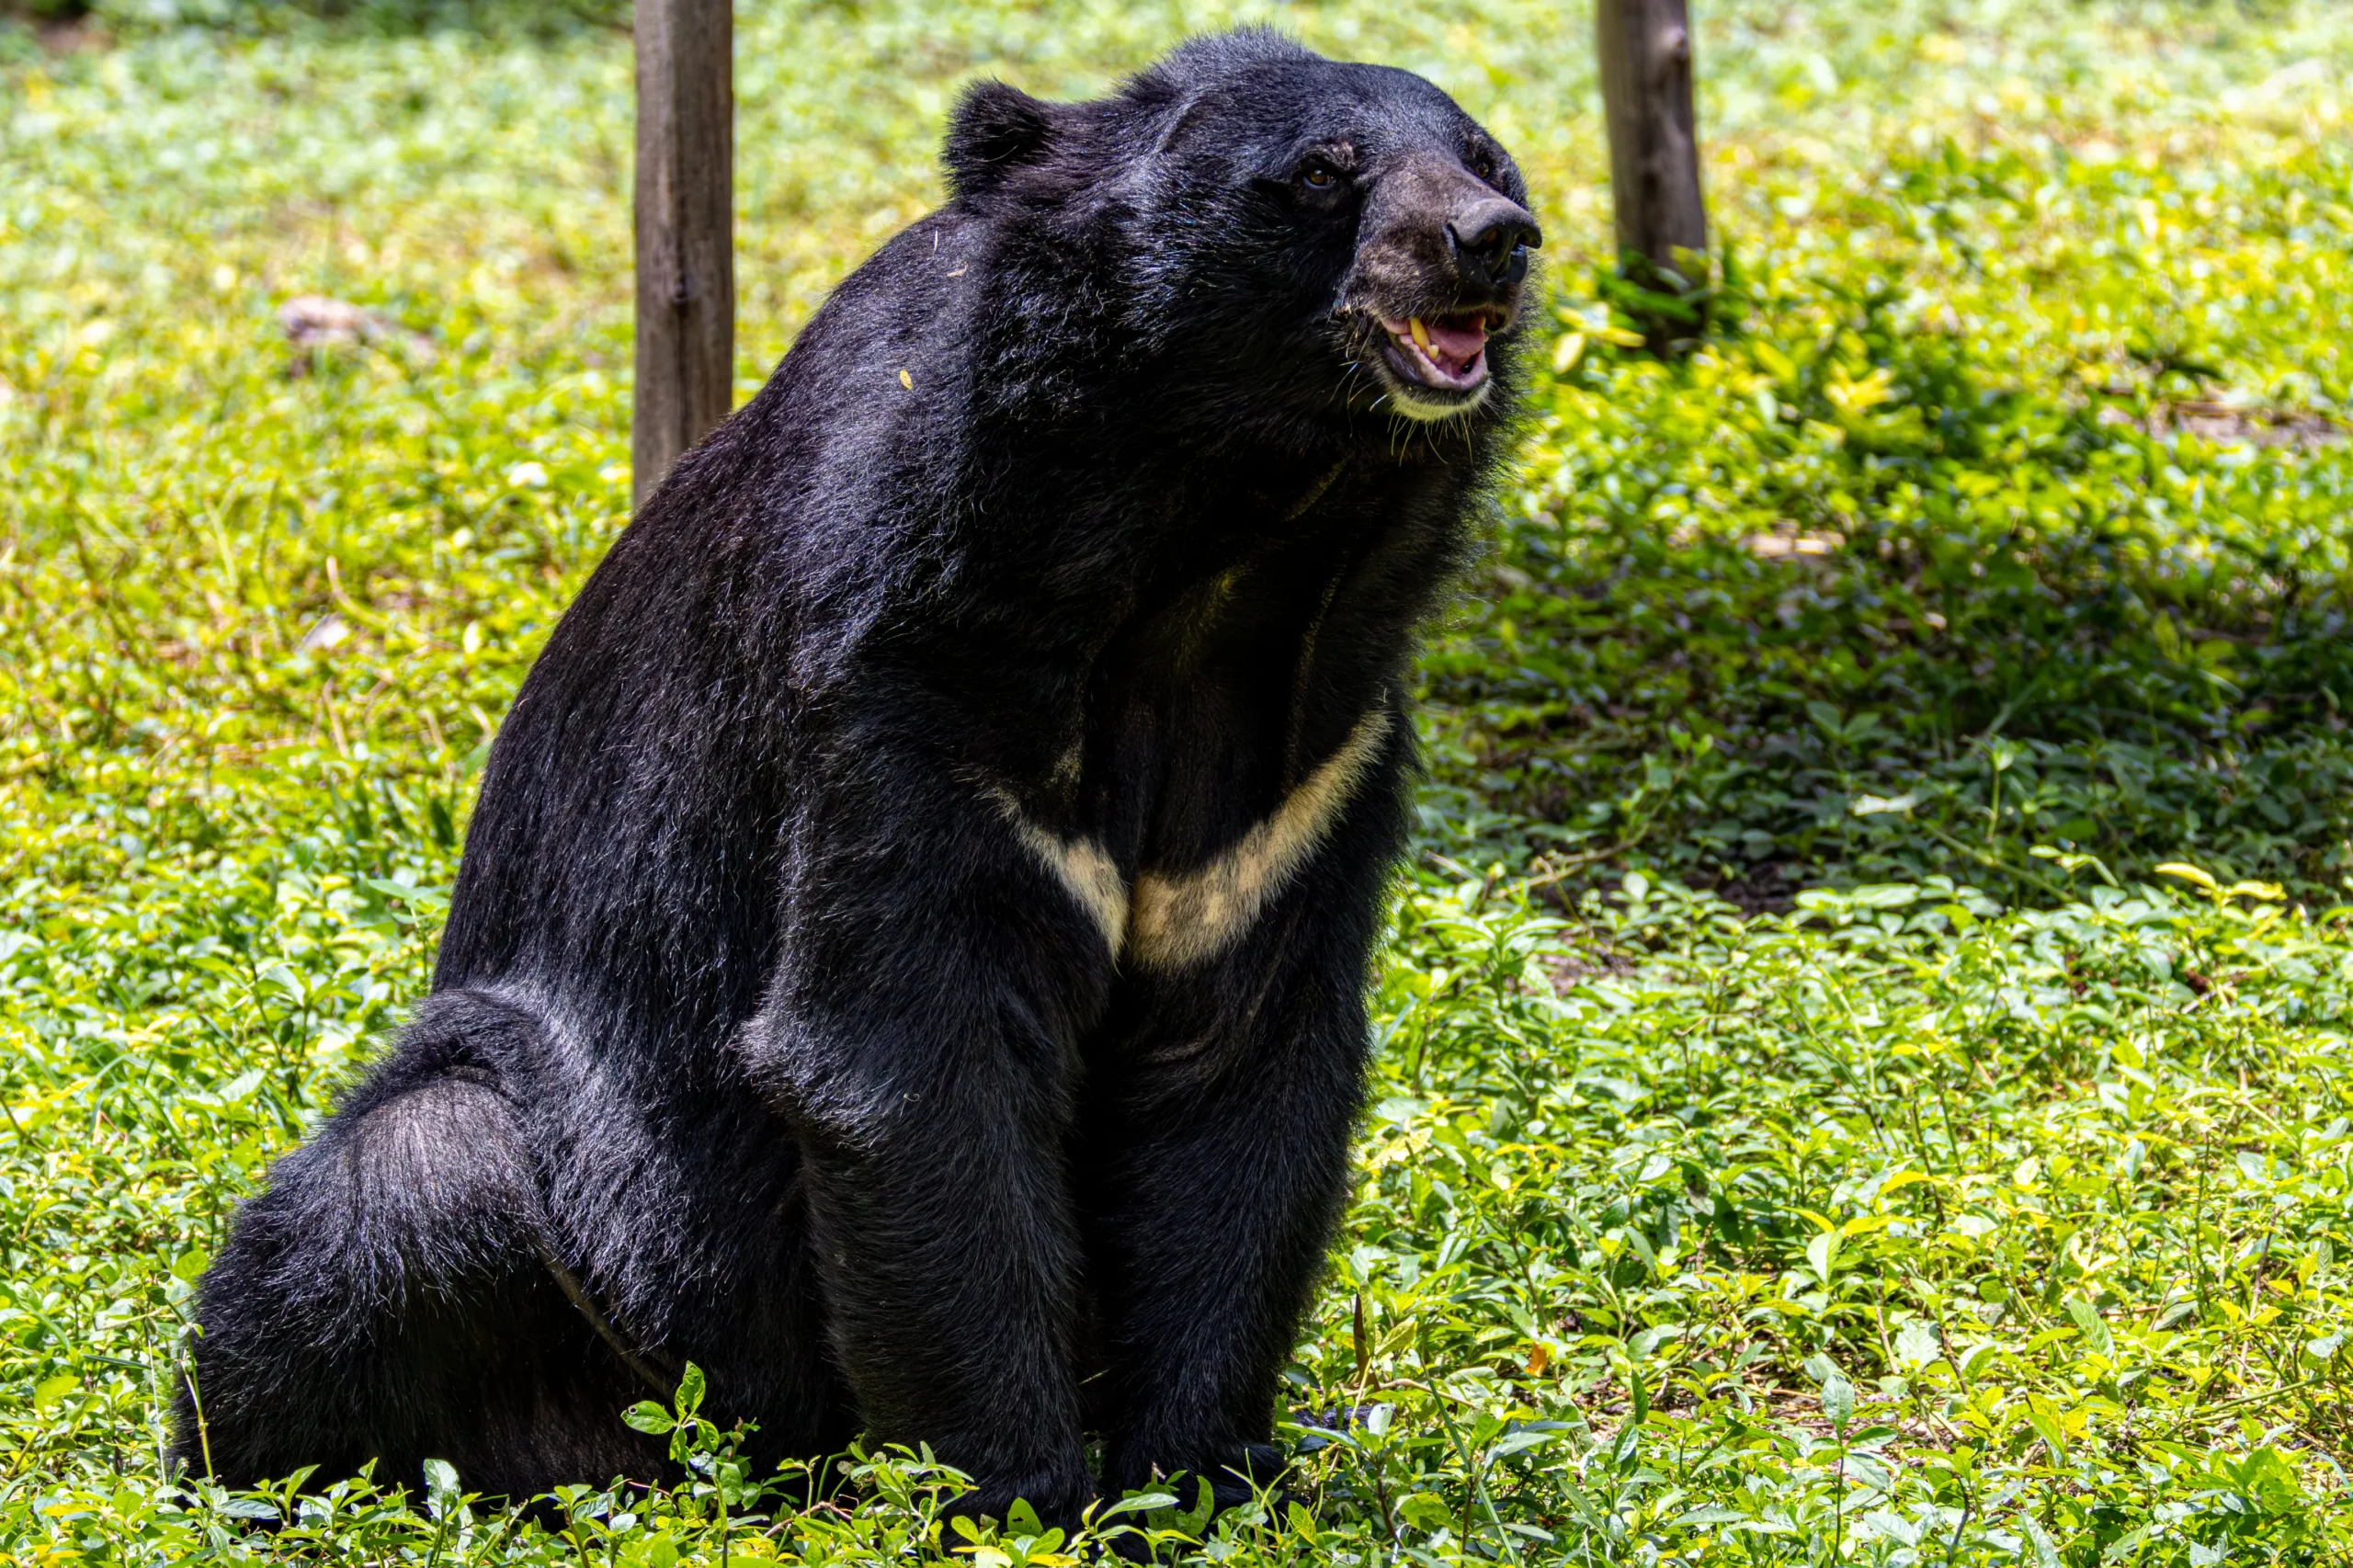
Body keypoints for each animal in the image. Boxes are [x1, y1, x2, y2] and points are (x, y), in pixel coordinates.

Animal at [174, 28, 1539, 1530]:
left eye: (1484, 157)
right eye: (1319, 173)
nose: (1491, 242)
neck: (1225, 538)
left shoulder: (1305, 765)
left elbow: (1240, 1067)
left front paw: (1195, 1476)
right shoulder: (908, 673)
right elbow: (906, 1055)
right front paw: (1020, 1498)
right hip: (596, 1225)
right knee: (392, 1200)